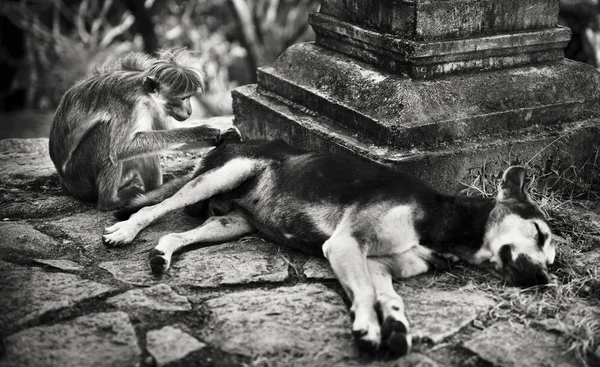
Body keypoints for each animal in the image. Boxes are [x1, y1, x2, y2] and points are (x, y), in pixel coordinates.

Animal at [48, 47, 237, 211]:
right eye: (184, 98)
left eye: (189, 98)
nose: (190, 111)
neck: (145, 92)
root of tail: (65, 183)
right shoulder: (131, 103)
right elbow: (121, 148)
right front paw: (200, 131)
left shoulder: (155, 108)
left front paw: (222, 136)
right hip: (79, 176)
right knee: (106, 131)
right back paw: (110, 202)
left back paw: (152, 193)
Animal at [102, 139, 552, 358]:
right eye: (539, 233)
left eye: (550, 257)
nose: (545, 279)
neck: (444, 219)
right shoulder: (345, 245)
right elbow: (366, 294)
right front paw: (368, 328)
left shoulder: (379, 265)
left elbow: (388, 297)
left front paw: (395, 326)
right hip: (225, 173)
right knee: (156, 209)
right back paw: (124, 231)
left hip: (231, 224)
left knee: (179, 234)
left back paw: (162, 253)